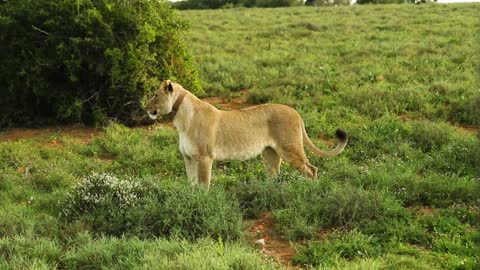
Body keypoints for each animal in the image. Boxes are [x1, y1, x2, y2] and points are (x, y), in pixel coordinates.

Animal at [144, 80, 346, 188]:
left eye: (155, 94)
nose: (145, 107)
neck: (180, 117)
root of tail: (296, 112)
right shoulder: (188, 157)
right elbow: (191, 183)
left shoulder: (205, 157)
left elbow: (203, 184)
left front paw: (202, 202)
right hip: (270, 153)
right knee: (275, 175)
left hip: (290, 149)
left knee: (311, 169)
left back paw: (311, 191)